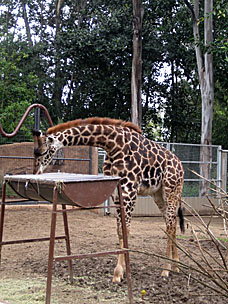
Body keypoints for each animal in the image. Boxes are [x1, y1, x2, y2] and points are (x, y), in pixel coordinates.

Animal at [32, 117, 185, 282]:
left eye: (42, 151)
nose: (35, 172)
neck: (112, 144)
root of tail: (180, 166)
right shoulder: (117, 191)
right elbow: (119, 230)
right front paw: (122, 270)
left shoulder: (129, 190)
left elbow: (126, 230)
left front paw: (117, 273)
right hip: (158, 194)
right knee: (172, 222)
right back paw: (176, 266)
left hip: (171, 190)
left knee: (170, 223)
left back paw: (166, 269)